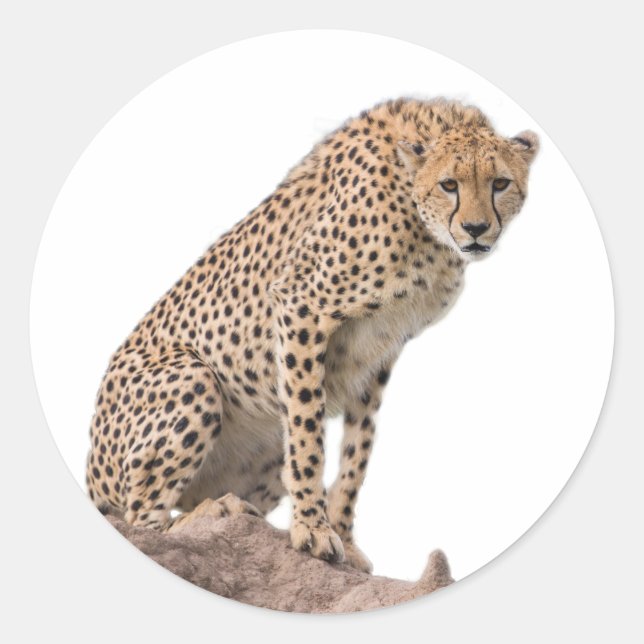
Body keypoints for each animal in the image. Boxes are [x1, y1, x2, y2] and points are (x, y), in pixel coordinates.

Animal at [86, 97, 539, 573]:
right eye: (449, 184)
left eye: (500, 183)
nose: (476, 229)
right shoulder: (300, 306)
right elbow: (308, 435)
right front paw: (312, 530)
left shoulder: (380, 349)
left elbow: (358, 450)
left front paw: (344, 538)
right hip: (193, 375)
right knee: (142, 521)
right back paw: (218, 510)